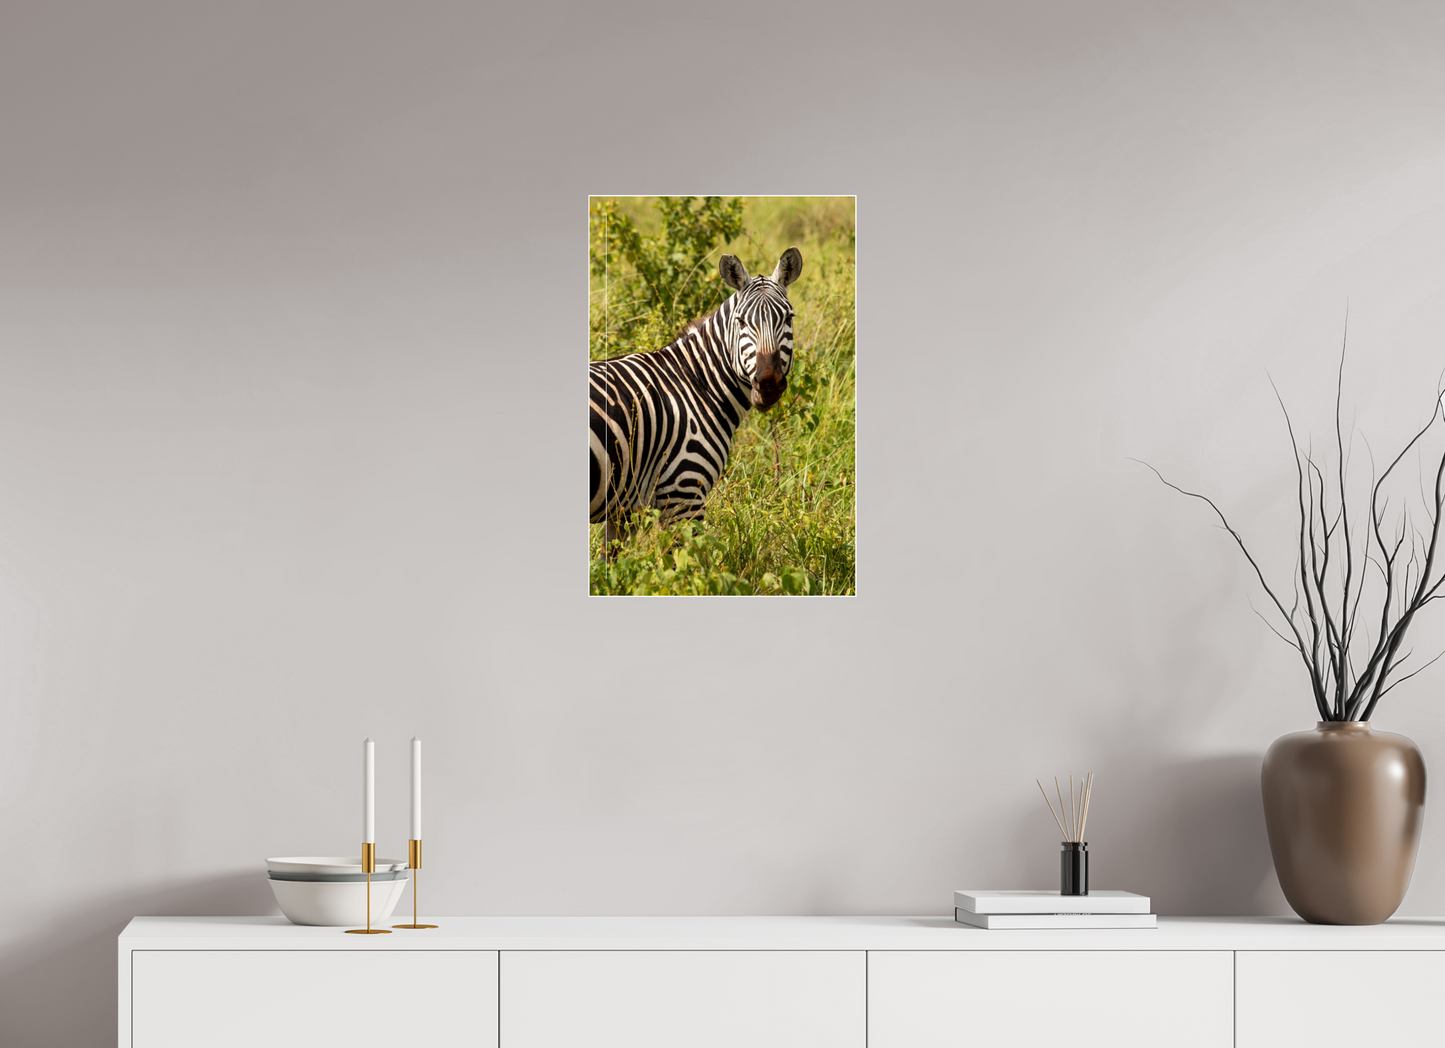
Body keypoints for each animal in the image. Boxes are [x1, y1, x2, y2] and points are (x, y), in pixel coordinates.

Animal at [590, 247, 804, 544]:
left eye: (788, 318)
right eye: (741, 322)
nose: (769, 384)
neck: (694, 382)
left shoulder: (623, 509)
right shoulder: (684, 493)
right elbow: (691, 556)